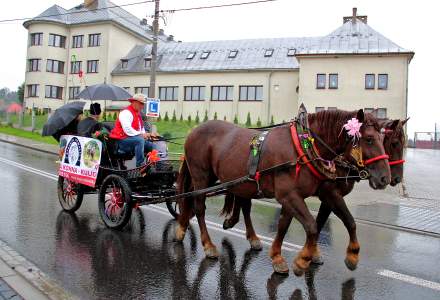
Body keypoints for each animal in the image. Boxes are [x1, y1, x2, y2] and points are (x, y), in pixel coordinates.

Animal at [175, 109, 388, 276]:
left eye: (383, 139)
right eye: (369, 139)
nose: (385, 177)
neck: (302, 146)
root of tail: (194, 130)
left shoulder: (304, 195)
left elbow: (346, 222)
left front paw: (352, 256)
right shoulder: (290, 195)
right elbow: (311, 226)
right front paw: (302, 260)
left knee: (194, 199)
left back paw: (182, 228)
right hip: (202, 177)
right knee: (199, 207)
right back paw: (207, 245)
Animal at [222, 117, 408, 272]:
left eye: (385, 142)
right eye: (394, 143)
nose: (391, 178)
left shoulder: (321, 197)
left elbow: (317, 222)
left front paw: (311, 254)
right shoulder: (328, 194)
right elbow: (325, 223)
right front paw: (311, 255)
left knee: (242, 200)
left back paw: (237, 225)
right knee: (245, 205)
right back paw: (247, 233)